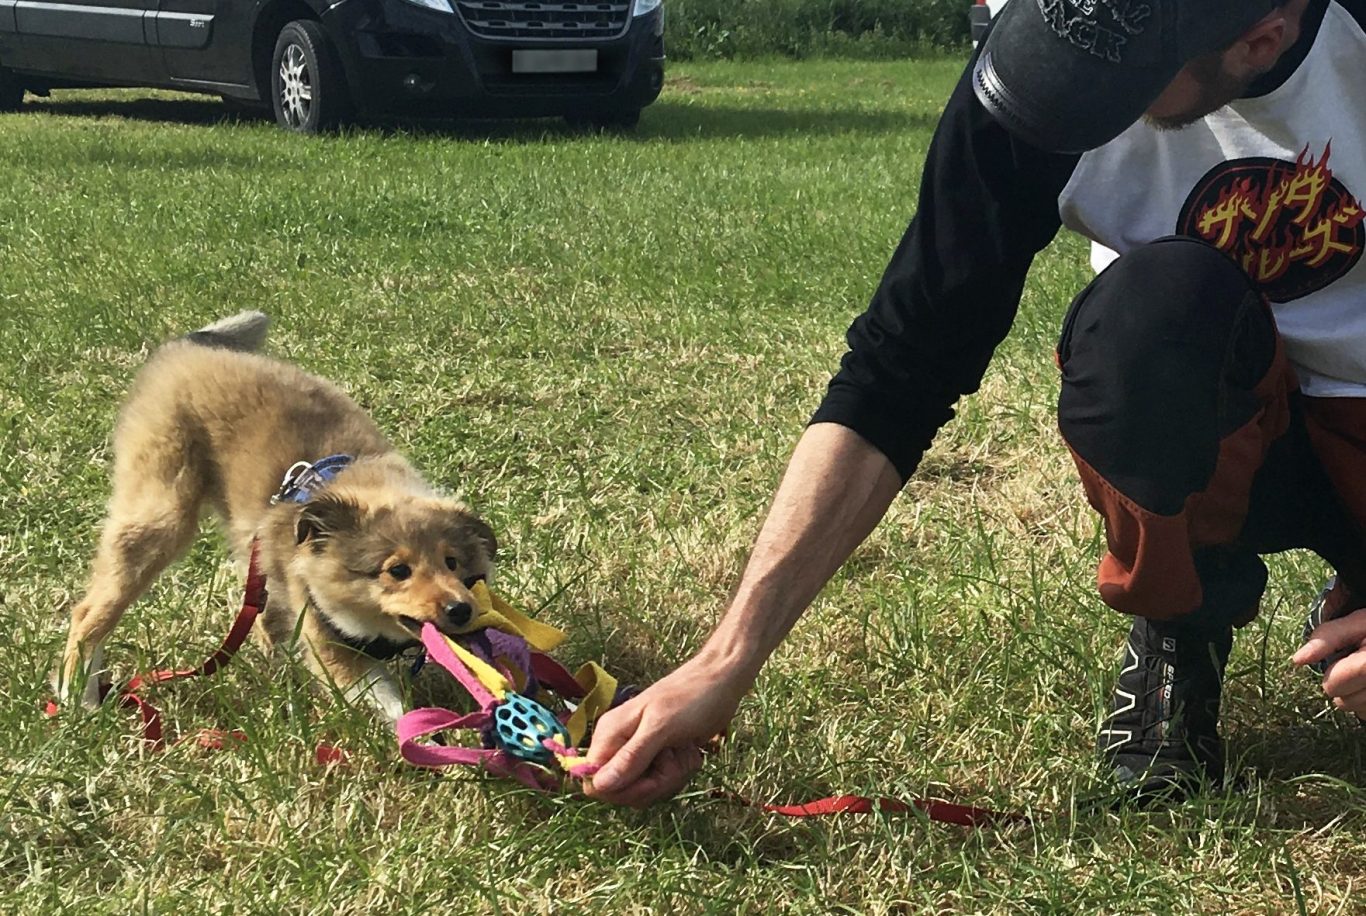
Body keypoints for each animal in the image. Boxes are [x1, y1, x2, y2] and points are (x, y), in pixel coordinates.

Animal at [55, 312, 498, 724]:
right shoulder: (330, 644)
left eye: (453, 562)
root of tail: (183, 347)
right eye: (398, 570)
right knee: (89, 613)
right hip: (160, 511)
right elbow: (393, 708)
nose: (462, 610)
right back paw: (78, 698)